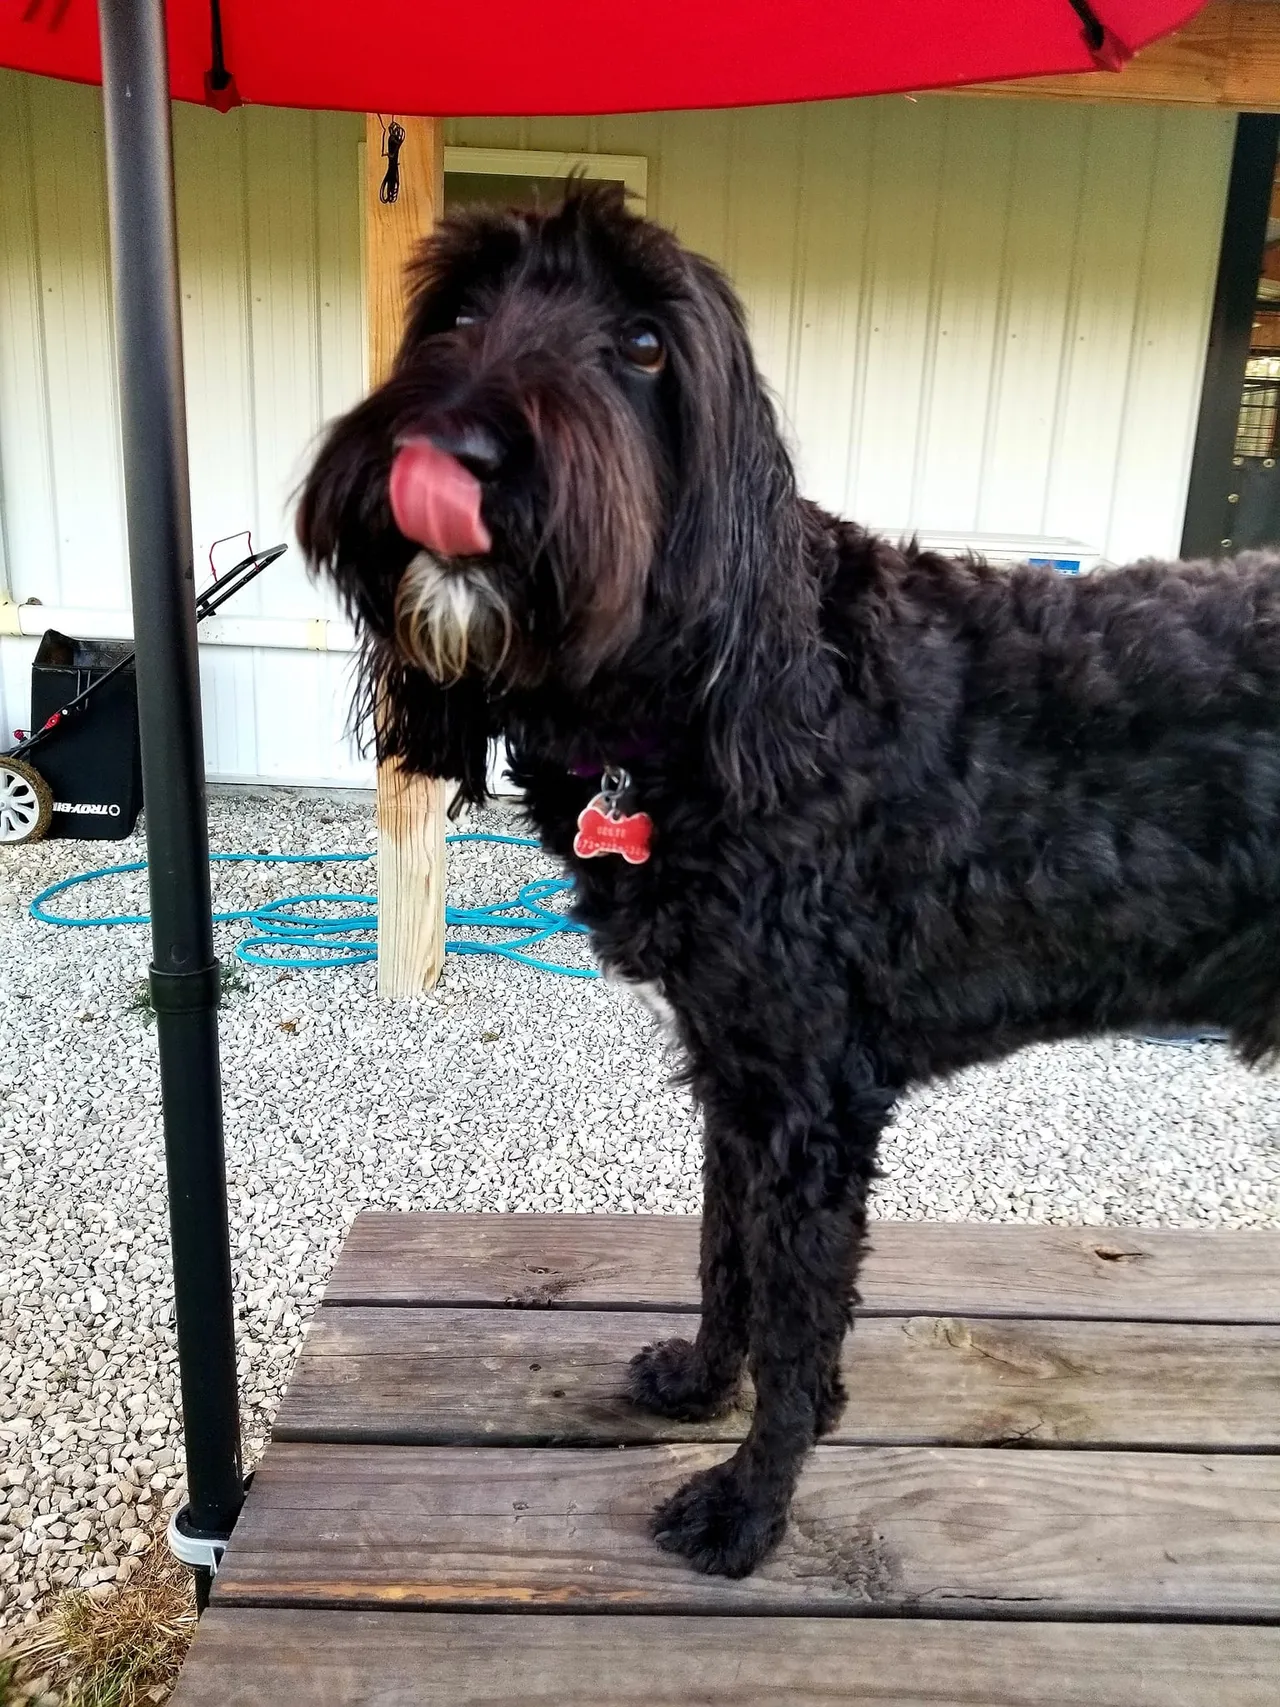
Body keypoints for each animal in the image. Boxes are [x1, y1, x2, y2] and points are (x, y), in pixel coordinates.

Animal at [295, 183, 1280, 1570]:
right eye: (458, 314)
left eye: (643, 346)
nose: (452, 449)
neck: (724, 700)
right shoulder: (735, 1064)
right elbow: (727, 1257)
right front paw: (705, 1383)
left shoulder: (816, 1095)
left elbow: (798, 1300)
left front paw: (750, 1498)